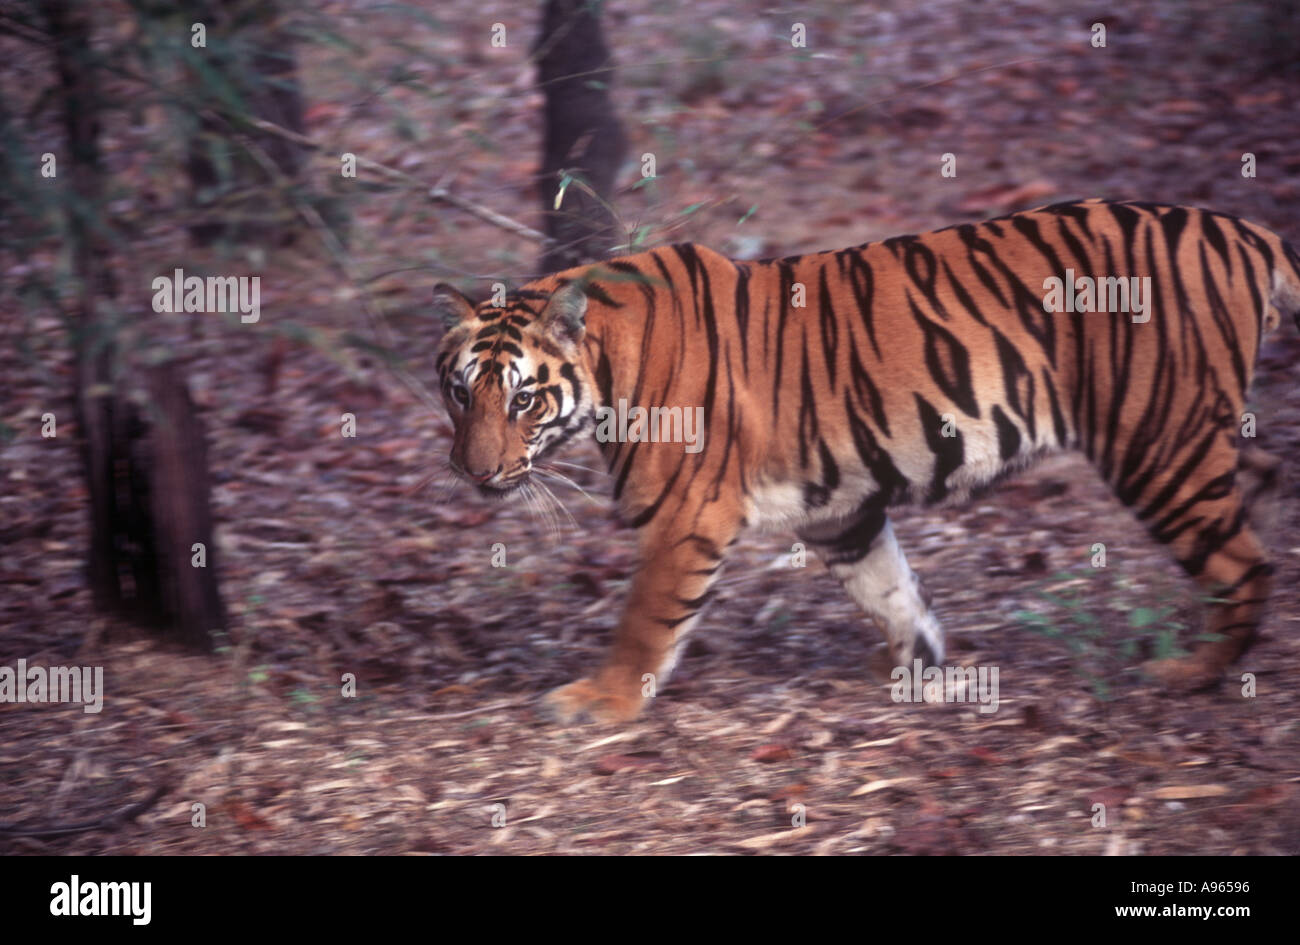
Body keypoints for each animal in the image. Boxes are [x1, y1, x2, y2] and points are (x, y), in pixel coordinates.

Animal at [434, 200, 1300, 722]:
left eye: (523, 399)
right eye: (459, 392)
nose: (474, 473)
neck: (612, 366)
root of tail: (1246, 230)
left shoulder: (686, 515)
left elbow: (646, 621)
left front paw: (598, 701)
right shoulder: (839, 509)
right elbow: (892, 590)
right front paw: (927, 667)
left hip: (1158, 443)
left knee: (1244, 561)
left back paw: (1194, 671)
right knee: (1261, 490)